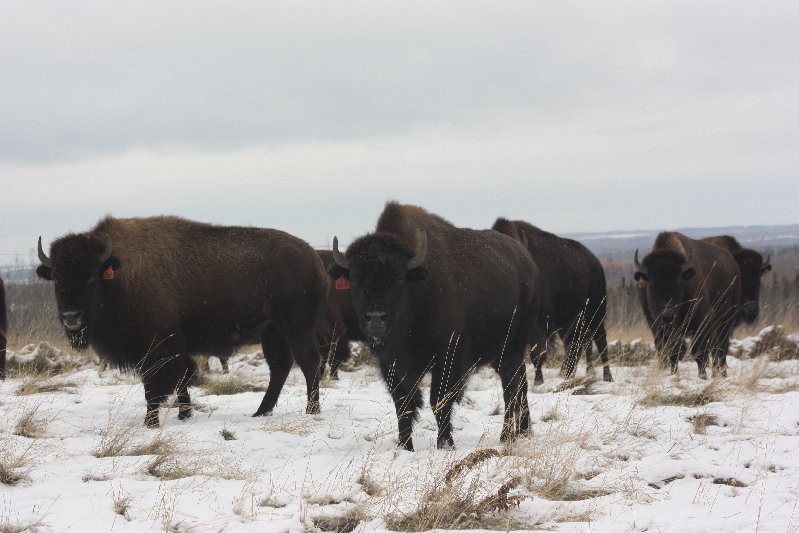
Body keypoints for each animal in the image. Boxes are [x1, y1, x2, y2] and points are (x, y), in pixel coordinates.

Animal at [37, 214, 328, 426]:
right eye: (57, 278)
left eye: (90, 276)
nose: (71, 317)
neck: (118, 277)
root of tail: (314, 258)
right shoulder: (176, 348)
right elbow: (183, 378)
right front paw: (184, 414)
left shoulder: (158, 349)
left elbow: (156, 386)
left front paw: (151, 422)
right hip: (272, 332)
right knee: (280, 367)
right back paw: (261, 412)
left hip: (295, 327)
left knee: (309, 361)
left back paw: (311, 410)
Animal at [494, 218, 612, 384]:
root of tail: (596, 262)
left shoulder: (538, 325)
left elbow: (537, 353)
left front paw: (538, 382)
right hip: (570, 323)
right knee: (574, 346)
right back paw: (566, 374)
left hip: (596, 314)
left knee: (600, 341)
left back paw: (607, 377)